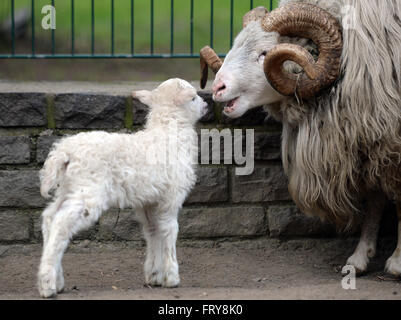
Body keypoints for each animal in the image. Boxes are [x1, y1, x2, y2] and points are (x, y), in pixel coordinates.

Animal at [36, 79, 208, 298]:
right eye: (193, 97)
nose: (206, 106)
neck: (169, 131)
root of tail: (64, 151)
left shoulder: (149, 200)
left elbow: (153, 231)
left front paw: (154, 275)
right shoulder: (171, 196)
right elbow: (170, 229)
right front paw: (172, 277)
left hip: (68, 187)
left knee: (49, 217)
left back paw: (57, 281)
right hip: (89, 190)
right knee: (61, 223)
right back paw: (47, 285)